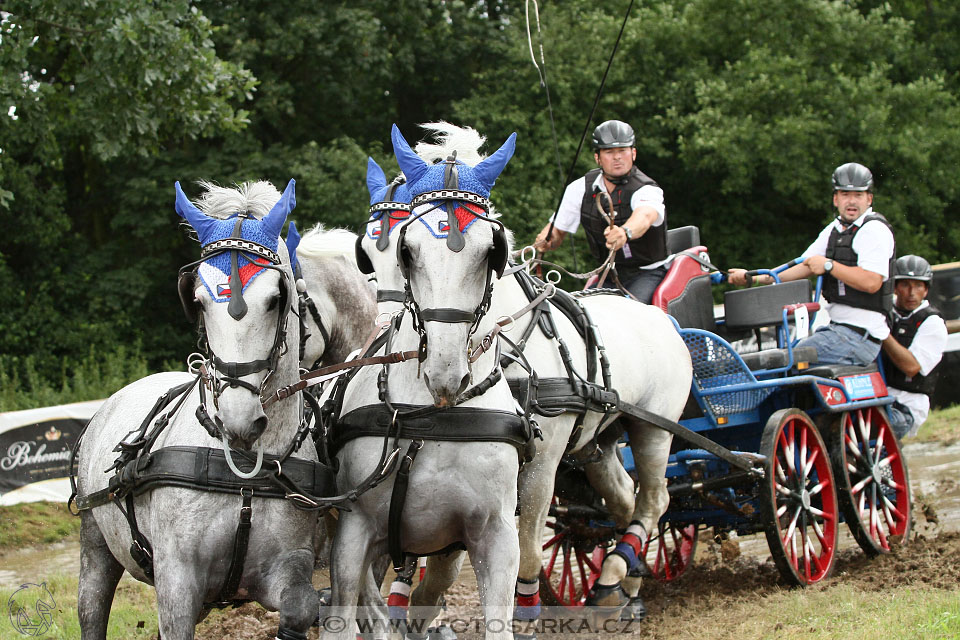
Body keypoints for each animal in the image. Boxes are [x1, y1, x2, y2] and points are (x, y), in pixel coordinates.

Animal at [77, 180, 324, 640]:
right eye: (198, 300)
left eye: (275, 299)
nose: (238, 419)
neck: (242, 473)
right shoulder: (177, 579)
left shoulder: (289, 566)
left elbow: (301, 607)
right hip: (94, 542)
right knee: (92, 608)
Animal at [326, 125, 528, 640]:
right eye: (408, 249)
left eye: (491, 251)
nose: (444, 371)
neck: (433, 419)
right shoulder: (353, 531)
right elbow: (345, 610)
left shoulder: (497, 536)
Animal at [358, 122, 688, 624]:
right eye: (394, 251)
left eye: (489, 252)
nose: (440, 366)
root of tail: (659, 317)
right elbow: (433, 561)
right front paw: (410, 605)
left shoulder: (540, 467)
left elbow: (526, 556)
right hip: (597, 442)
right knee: (624, 499)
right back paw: (625, 584)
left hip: (654, 429)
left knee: (654, 501)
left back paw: (615, 575)